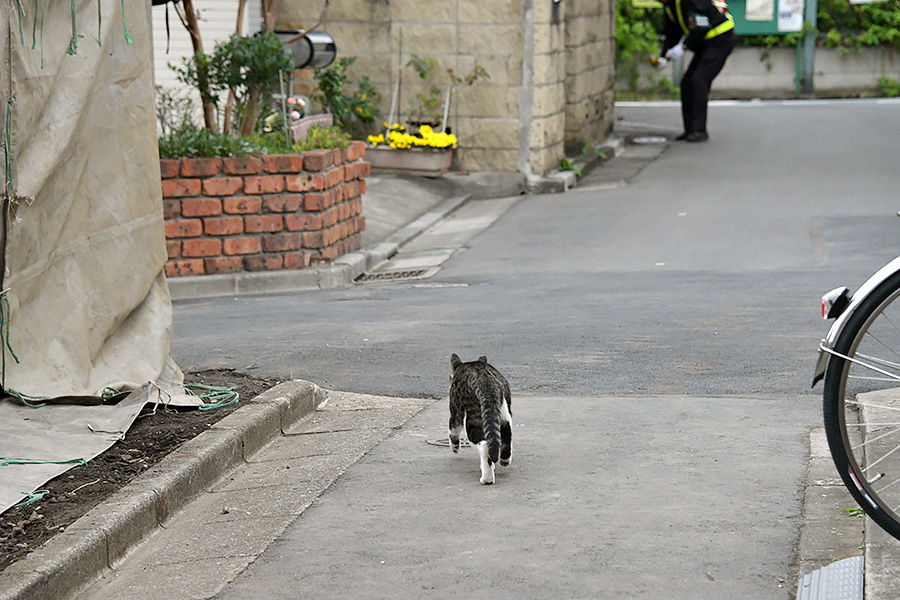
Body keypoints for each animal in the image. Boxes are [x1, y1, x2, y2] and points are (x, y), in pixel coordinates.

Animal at [450, 354, 512, 486]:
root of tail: (486, 383)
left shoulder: (455, 408)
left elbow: (453, 430)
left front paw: (455, 448)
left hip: (473, 418)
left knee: (484, 444)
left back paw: (487, 478)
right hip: (504, 412)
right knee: (506, 433)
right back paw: (504, 460)